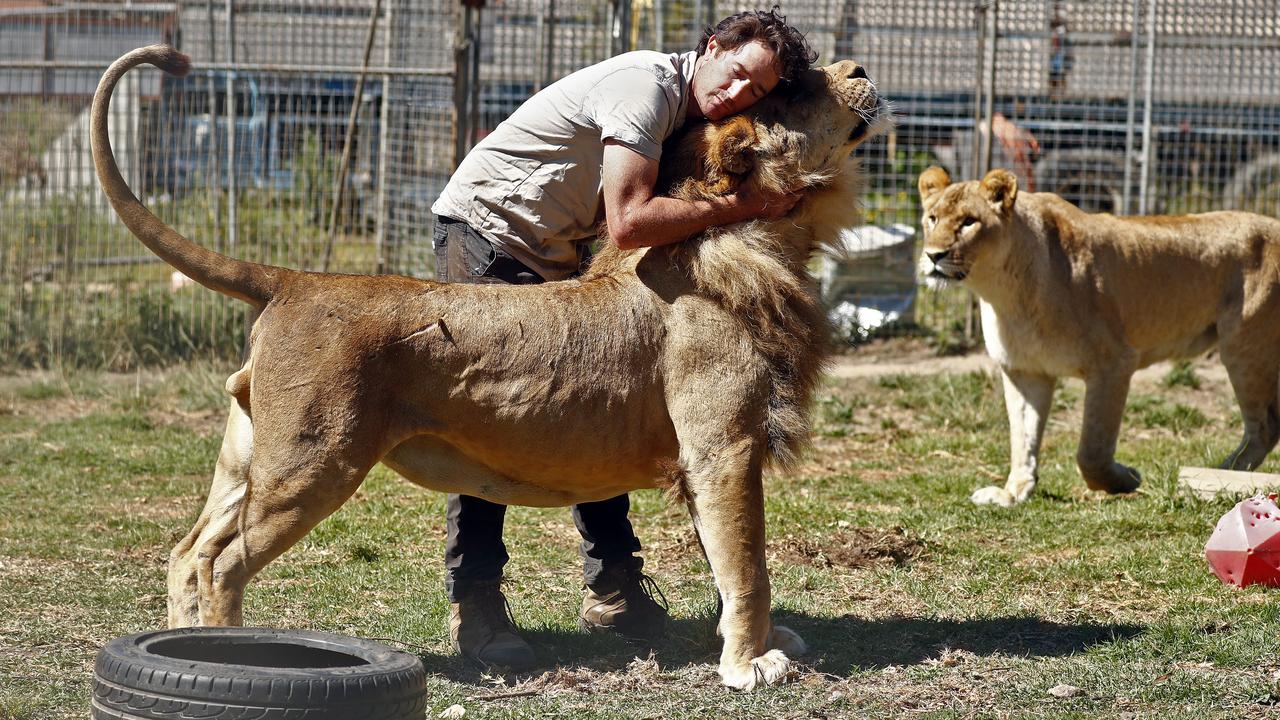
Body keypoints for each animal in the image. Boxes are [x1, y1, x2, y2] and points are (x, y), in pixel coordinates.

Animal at [90, 46, 885, 691]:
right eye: (793, 91)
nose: (861, 68)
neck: (775, 239)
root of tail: (293, 279)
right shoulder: (723, 445)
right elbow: (748, 563)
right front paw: (750, 665)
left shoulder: (706, 456)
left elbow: (728, 560)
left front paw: (760, 643)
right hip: (312, 464)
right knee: (221, 562)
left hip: (253, 459)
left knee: (188, 551)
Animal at [916, 166, 1280, 504]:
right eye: (932, 218)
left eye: (969, 222)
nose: (933, 255)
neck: (1004, 292)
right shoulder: (1024, 371)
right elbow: (1023, 438)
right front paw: (1013, 492)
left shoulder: (1114, 363)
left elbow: (1091, 450)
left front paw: (1125, 478)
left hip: (1245, 348)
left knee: (1264, 428)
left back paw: (1223, 475)